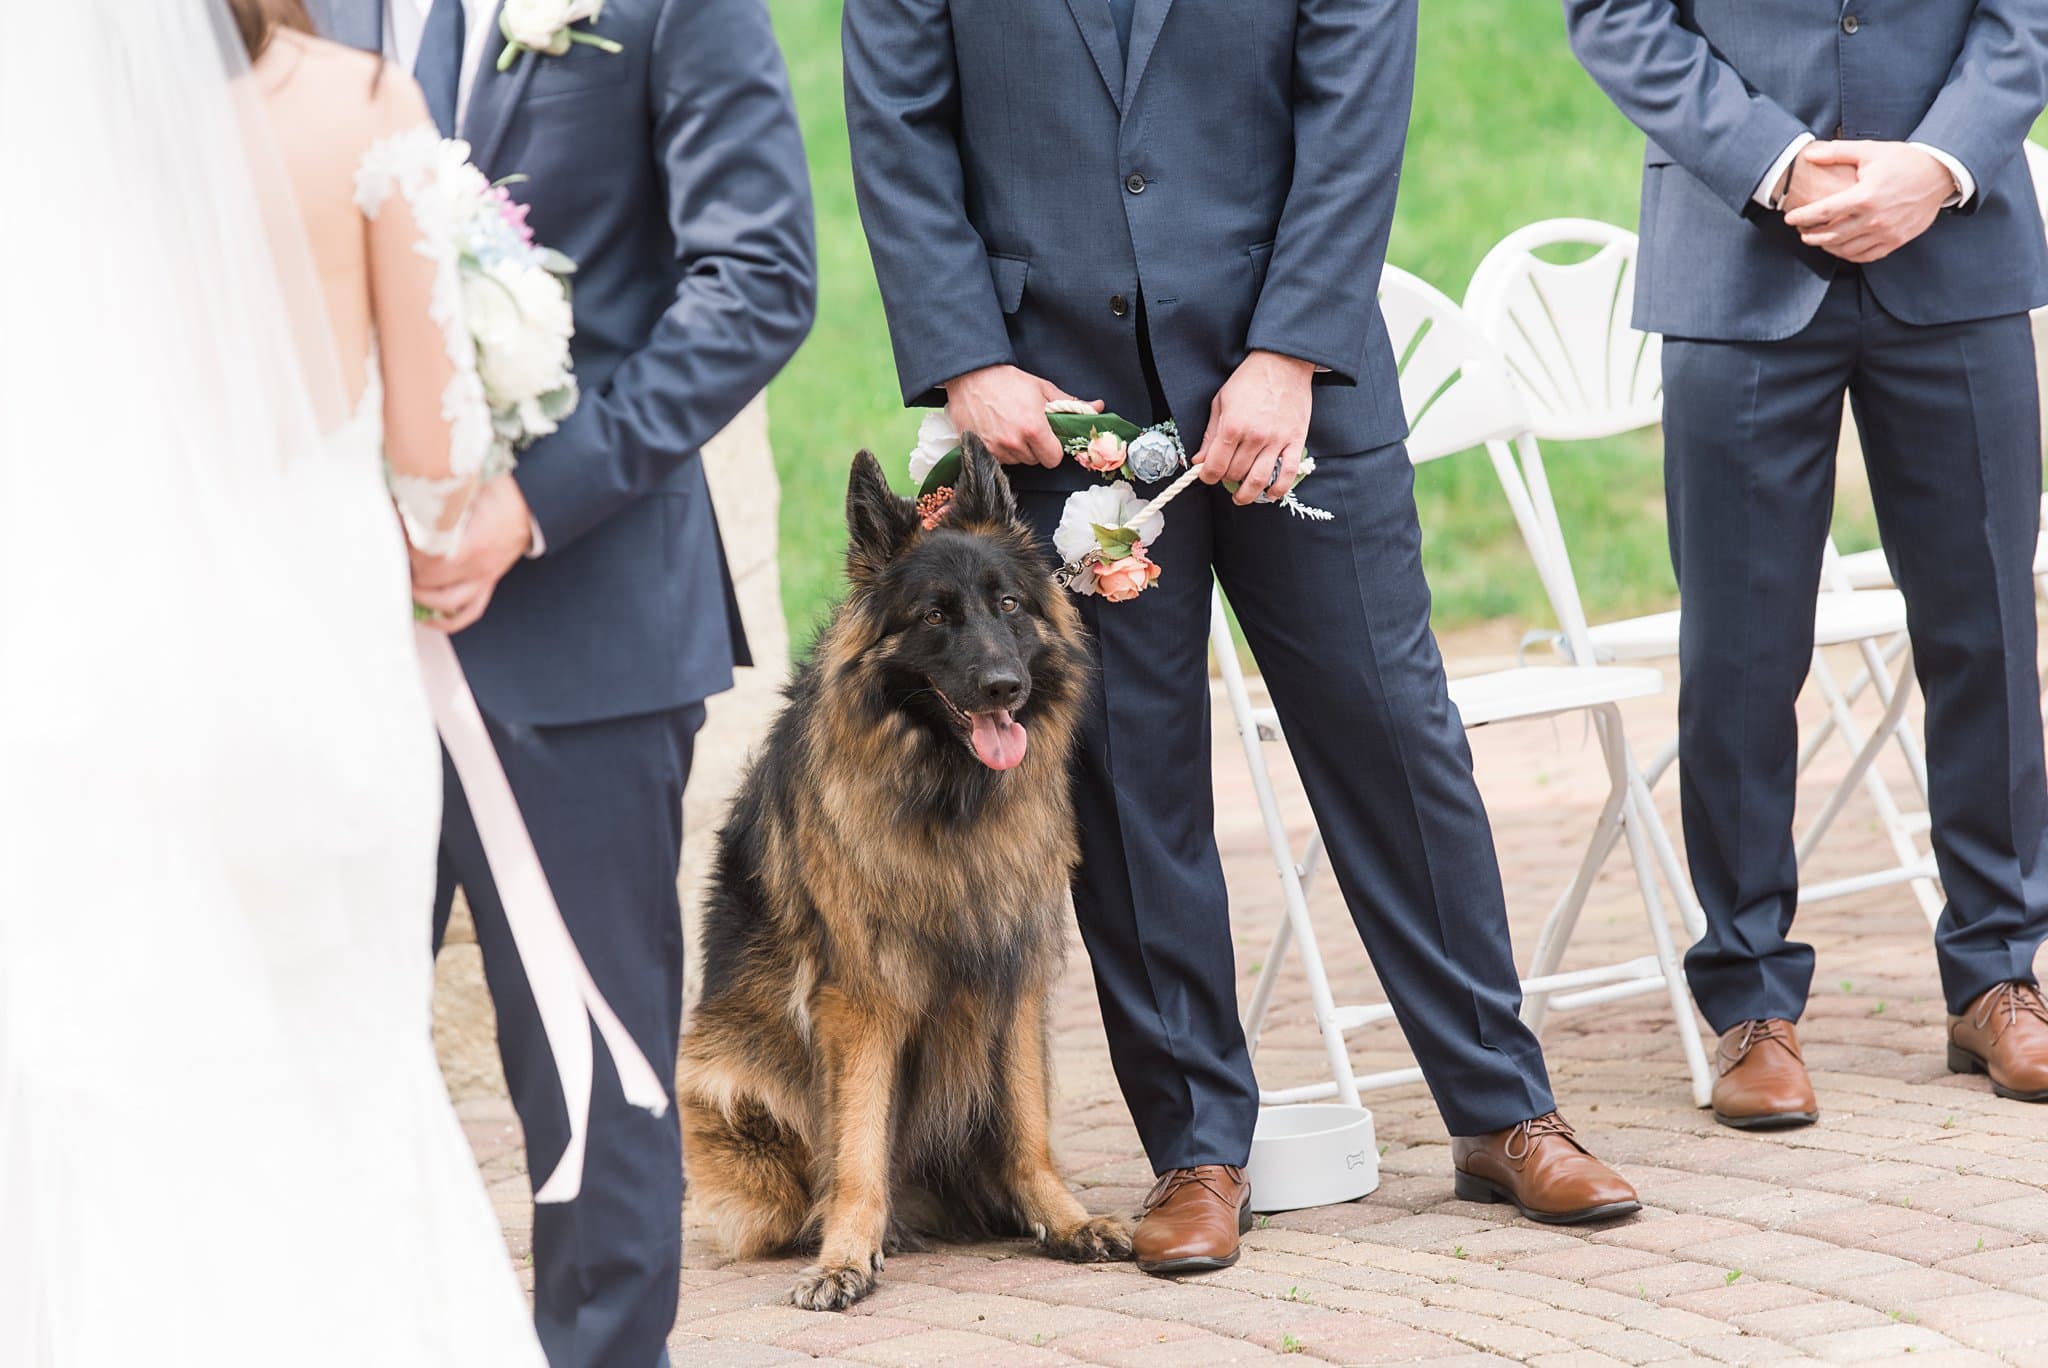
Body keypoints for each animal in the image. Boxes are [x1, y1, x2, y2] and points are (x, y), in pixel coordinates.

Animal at [684, 444, 1138, 1310]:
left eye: (1007, 605)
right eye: (934, 616)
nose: (1004, 688)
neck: (948, 797)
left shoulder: (1014, 972)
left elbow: (1027, 1123)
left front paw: (1061, 1218)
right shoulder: (862, 995)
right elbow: (858, 1139)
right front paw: (846, 1254)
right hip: (728, 1086)